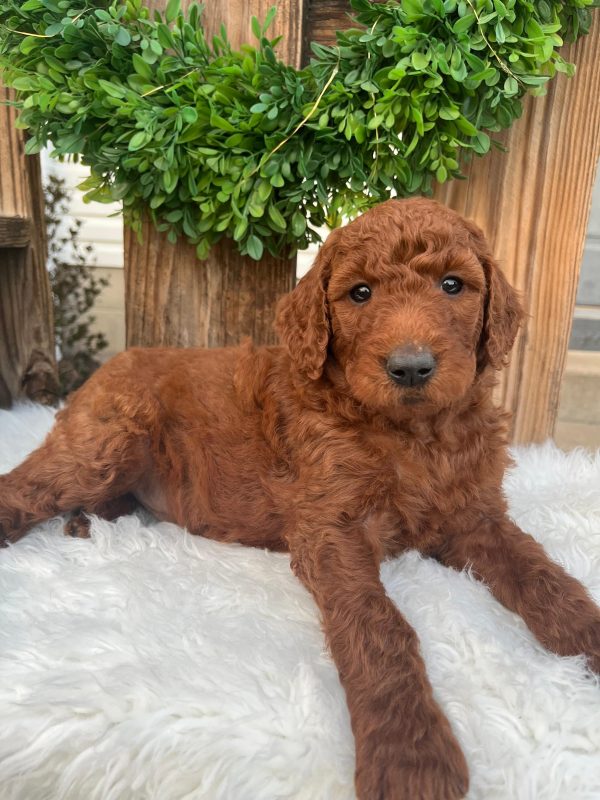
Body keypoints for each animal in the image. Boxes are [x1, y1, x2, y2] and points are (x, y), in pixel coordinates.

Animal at [1, 198, 599, 800]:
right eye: (360, 293)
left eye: (453, 285)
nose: (410, 367)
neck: (412, 432)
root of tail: (109, 367)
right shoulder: (329, 527)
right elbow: (379, 626)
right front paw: (410, 753)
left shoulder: (476, 515)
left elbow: (542, 574)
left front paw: (588, 636)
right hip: (108, 442)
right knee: (28, 484)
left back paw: (87, 521)